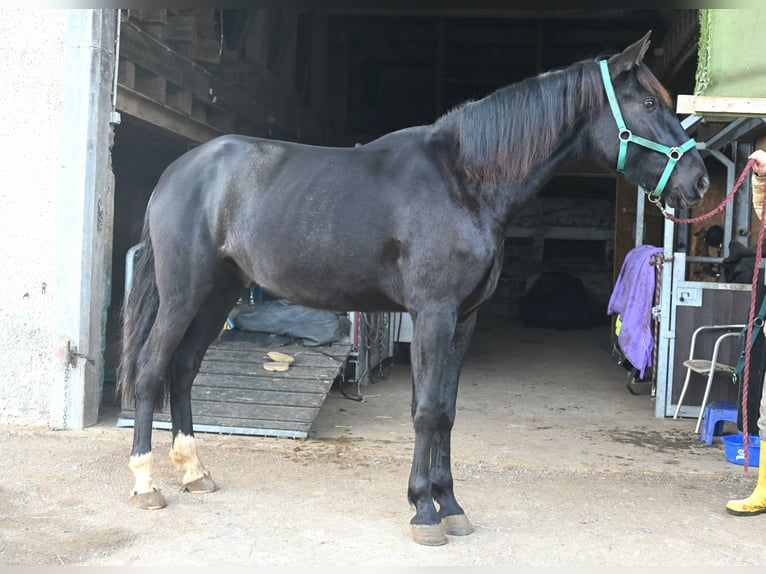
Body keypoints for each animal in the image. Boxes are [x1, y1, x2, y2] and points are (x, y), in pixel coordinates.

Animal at [116, 31, 709, 546]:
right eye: (649, 104)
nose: (699, 181)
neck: (464, 181)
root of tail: (178, 171)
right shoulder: (434, 314)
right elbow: (425, 410)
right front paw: (425, 512)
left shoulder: (463, 320)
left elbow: (445, 410)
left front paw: (451, 506)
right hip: (183, 293)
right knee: (150, 369)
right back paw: (145, 483)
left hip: (218, 293)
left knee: (183, 370)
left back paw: (195, 473)